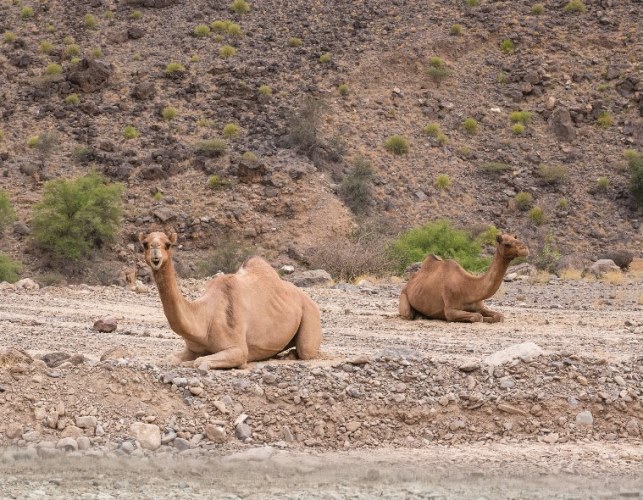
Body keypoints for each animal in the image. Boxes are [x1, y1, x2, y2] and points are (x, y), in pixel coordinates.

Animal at [140, 232, 322, 370]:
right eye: (145, 244)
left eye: (168, 244)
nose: (155, 251)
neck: (205, 317)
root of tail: (309, 299)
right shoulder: (192, 348)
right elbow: (171, 358)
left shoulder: (238, 349)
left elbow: (200, 361)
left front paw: (191, 363)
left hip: (310, 313)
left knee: (306, 350)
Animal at [400, 234, 532, 324]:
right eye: (507, 244)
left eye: (515, 237)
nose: (524, 249)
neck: (468, 287)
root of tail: (408, 283)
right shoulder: (450, 310)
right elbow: (477, 317)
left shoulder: (479, 306)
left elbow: (498, 316)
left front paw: (489, 318)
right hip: (404, 296)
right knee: (407, 314)